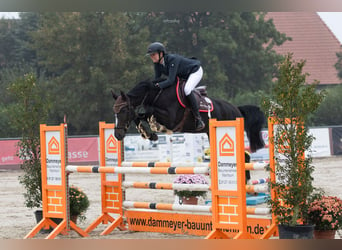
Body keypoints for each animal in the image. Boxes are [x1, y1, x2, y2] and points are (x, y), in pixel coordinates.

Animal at [111, 78, 266, 152]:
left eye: (123, 111)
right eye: (115, 112)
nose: (117, 135)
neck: (156, 95)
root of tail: (237, 109)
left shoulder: (172, 119)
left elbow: (146, 111)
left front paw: (153, 127)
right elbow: (140, 114)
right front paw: (147, 132)